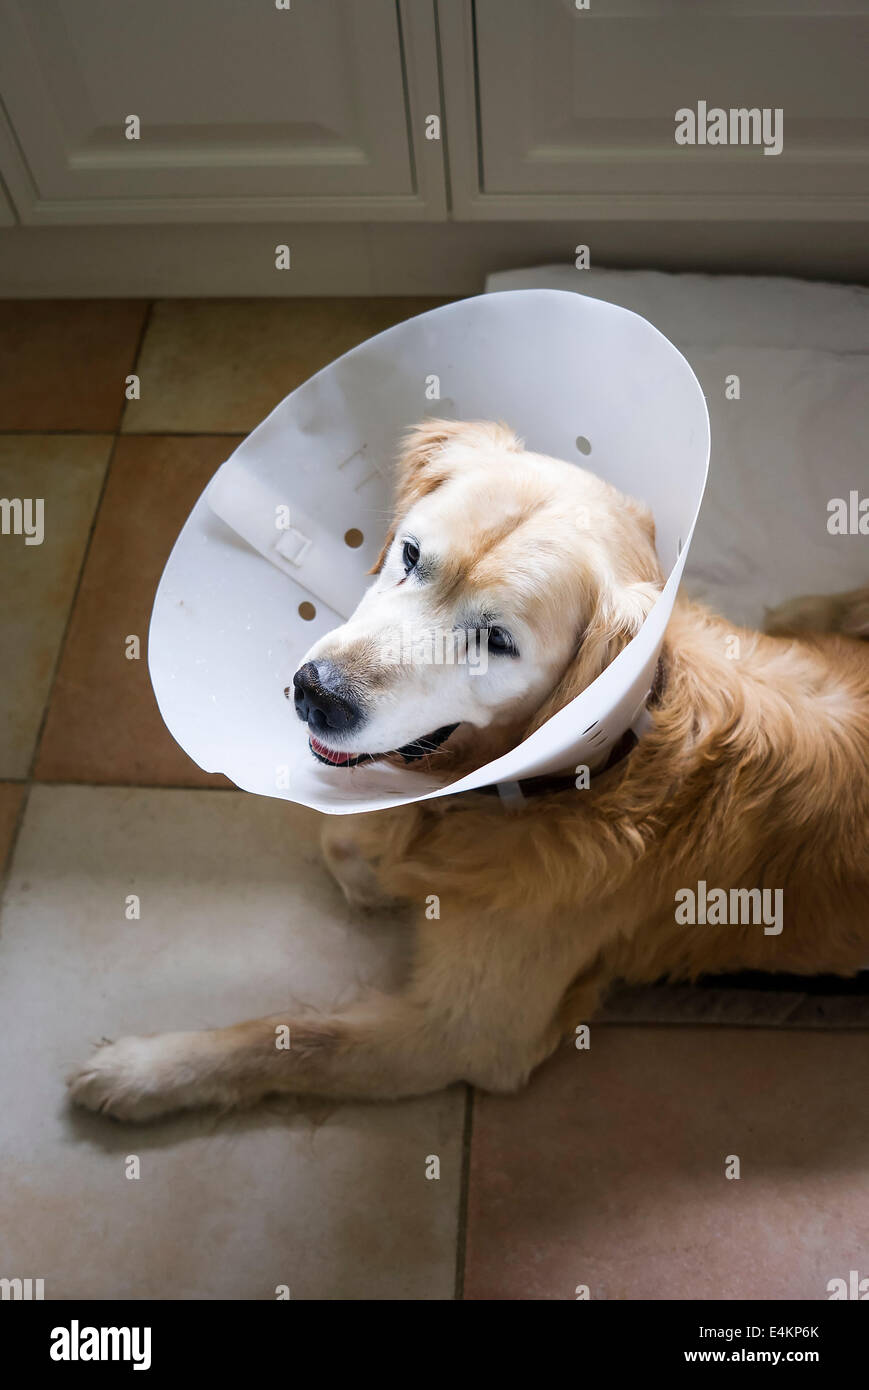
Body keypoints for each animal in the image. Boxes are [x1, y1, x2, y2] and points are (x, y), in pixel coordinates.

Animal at [69, 417, 867, 1123]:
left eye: (496, 640)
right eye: (410, 554)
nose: (314, 692)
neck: (586, 773)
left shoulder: (463, 1035)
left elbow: (293, 1038)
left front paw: (142, 1070)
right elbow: (348, 843)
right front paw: (383, 876)